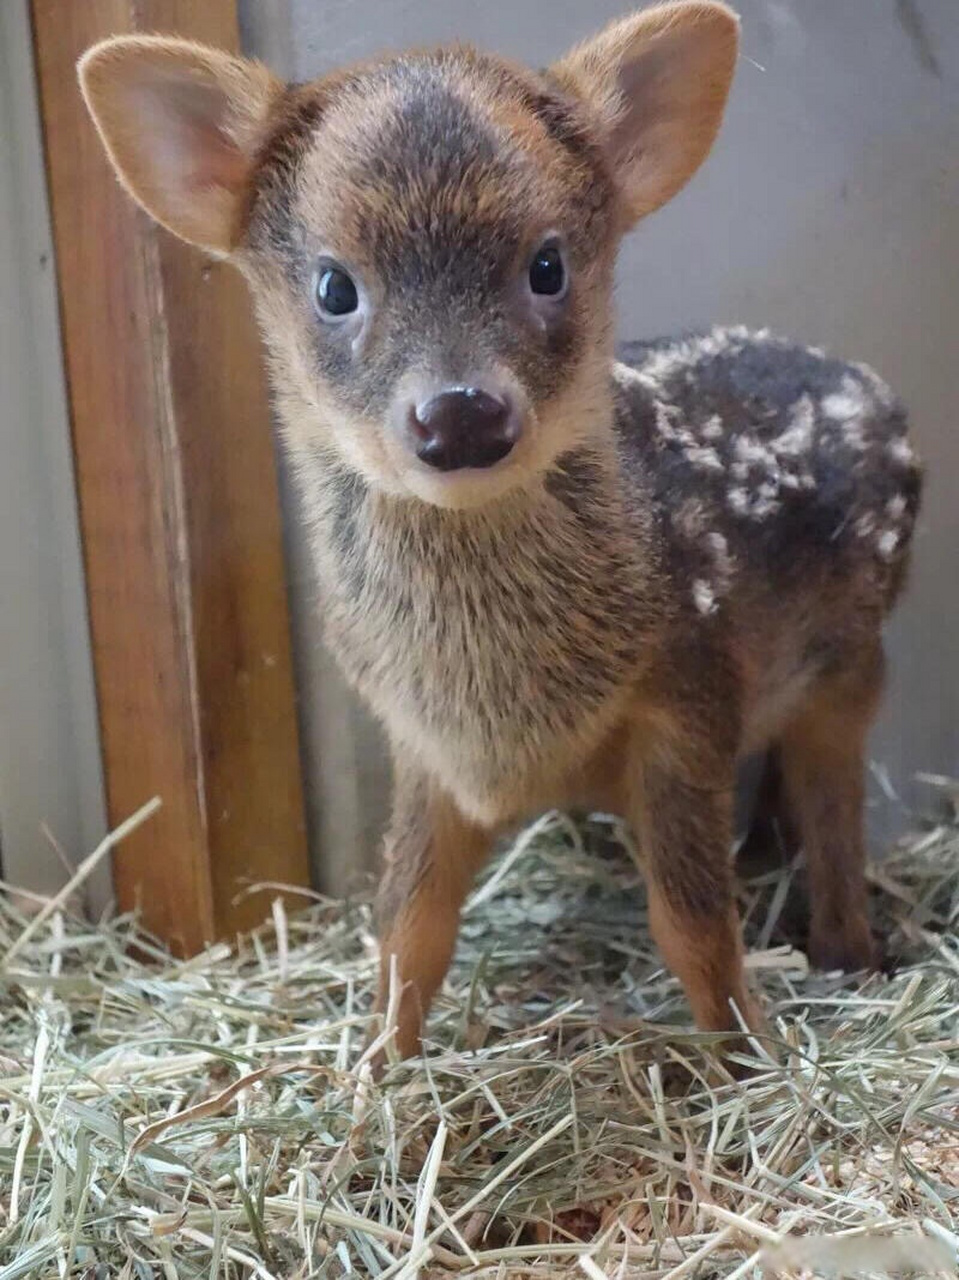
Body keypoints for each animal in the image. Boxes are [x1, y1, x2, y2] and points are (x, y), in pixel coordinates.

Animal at [79, 1, 922, 1066]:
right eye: (333, 287)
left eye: (547, 265)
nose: (460, 414)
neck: (502, 714)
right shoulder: (419, 748)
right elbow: (407, 927)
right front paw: (373, 1068)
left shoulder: (687, 697)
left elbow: (690, 922)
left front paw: (743, 1052)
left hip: (856, 652)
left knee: (835, 806)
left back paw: (848, 953)